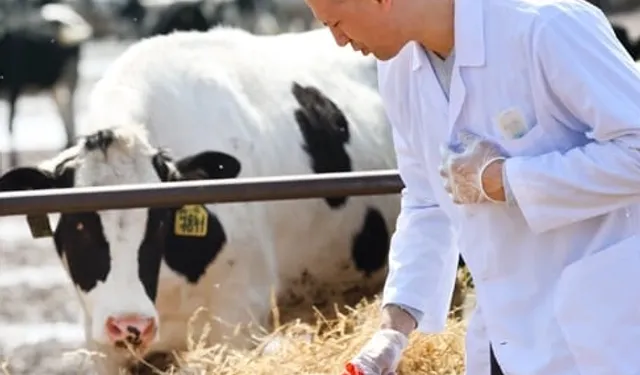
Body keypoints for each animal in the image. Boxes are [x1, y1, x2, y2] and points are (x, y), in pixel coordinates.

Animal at [0, 2, 92, 170]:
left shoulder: (14, 87)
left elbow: (10, 125)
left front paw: (13, 163)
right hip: (56, 87)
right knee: (66, 118)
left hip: (69, 78)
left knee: (69, 117)